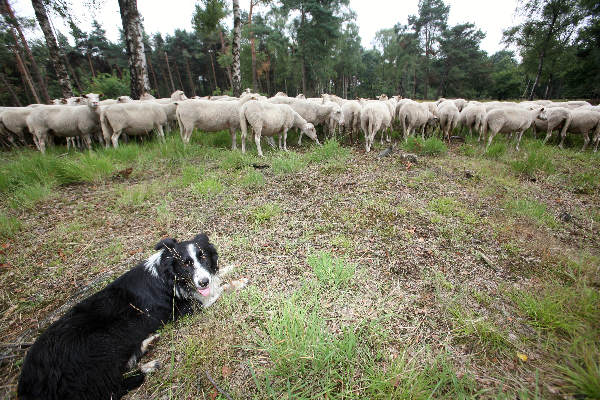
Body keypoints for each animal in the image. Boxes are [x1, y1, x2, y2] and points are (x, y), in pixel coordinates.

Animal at [19, 233, 244, 398]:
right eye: (185, 263)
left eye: (203, 257)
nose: (203, 282)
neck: (169, 276)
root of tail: (30, 380)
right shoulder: (187, 307)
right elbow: (218, 291)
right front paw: (237, 283)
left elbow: (219, 276)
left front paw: (230, 268)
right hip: (102, 344)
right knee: (111, 388)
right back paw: (149, 366)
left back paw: (147, 344)